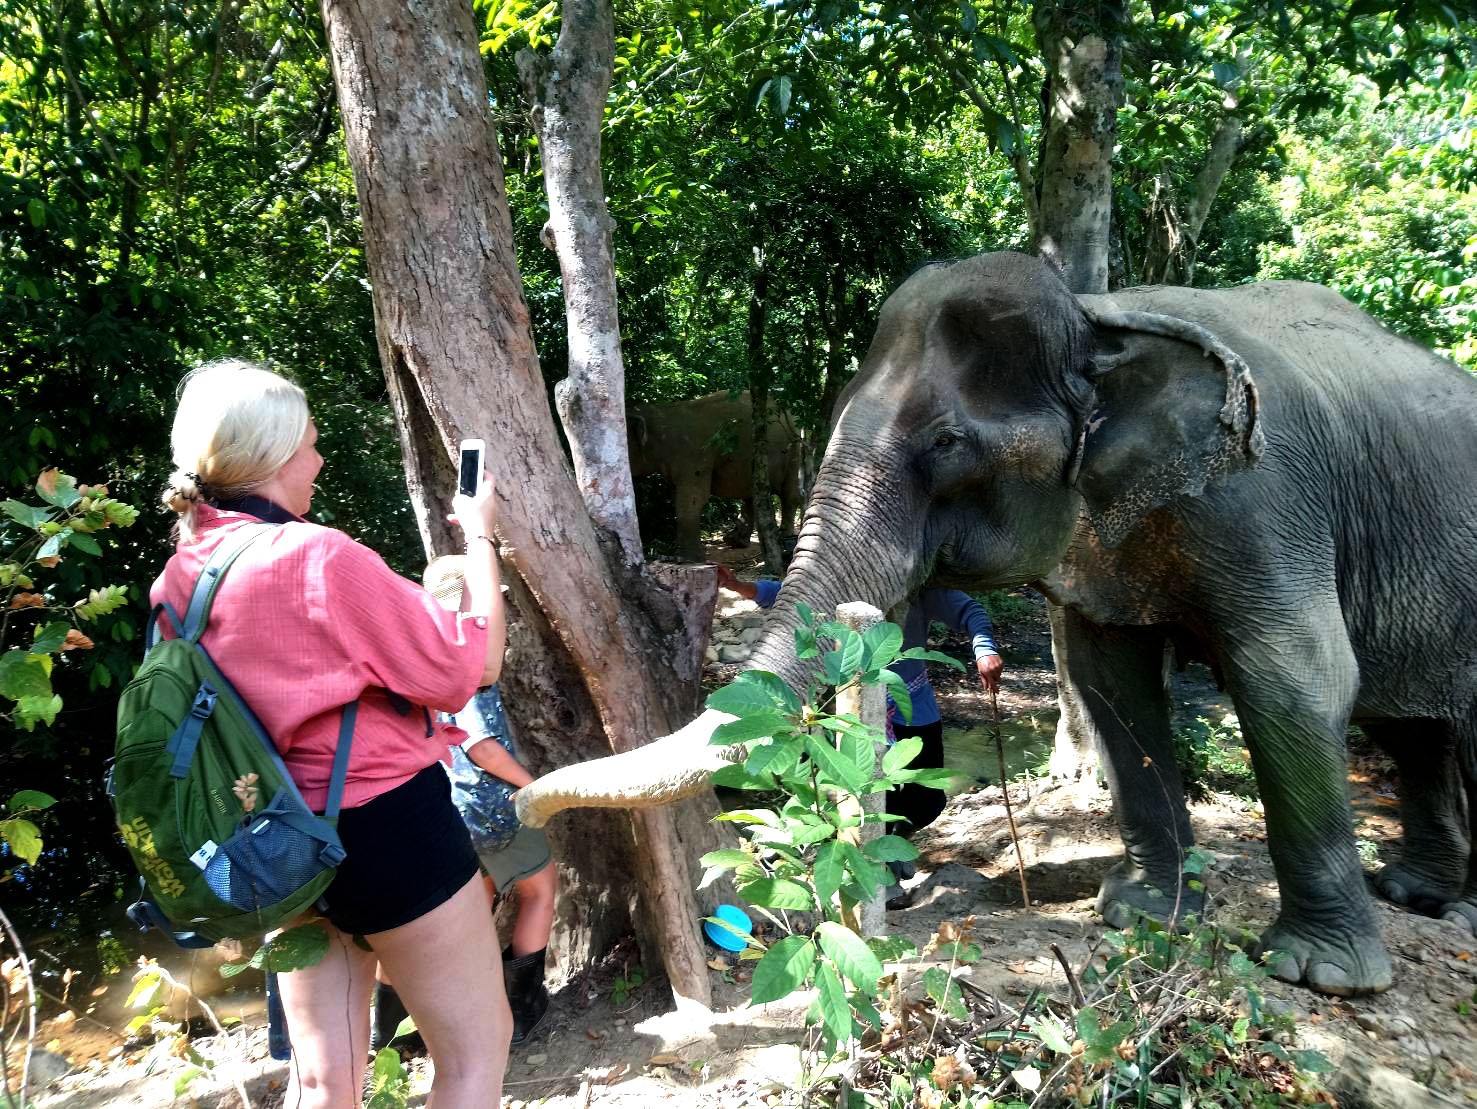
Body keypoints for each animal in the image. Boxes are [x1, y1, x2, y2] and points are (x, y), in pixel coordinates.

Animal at [628, 391, 804, 561]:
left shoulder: (694, 455)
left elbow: (693, 499)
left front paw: (685, 560)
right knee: (754, 495)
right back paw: (735, 541)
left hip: (794, 450)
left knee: (790, 495)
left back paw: (785, 542)